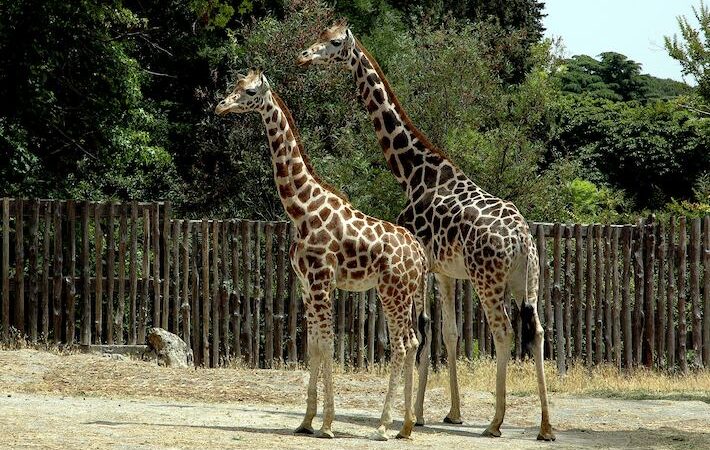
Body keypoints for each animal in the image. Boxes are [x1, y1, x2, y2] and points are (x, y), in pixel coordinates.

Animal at [214, 68, 432, 442]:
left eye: (251, 91)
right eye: (235, 86)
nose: (221, 106)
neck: (301, 210)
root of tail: (418, 252)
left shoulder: (321, 280)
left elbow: (328, 343)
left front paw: (328, 424)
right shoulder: (304, 284)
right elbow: (313, 345)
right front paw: (306, 421)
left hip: (392, 292)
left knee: (402, 344)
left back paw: (383, 426)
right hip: (403, 293)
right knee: (412, 339)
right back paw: (404, 427)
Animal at [298, 20, 560, 440]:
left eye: (335, 42)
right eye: (322, 34)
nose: (305, 56)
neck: (414, 173)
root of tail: (522, 239)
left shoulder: (427, 265)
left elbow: (423, 328)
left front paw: (416, 416)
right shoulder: (447, 272)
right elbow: (448, 333)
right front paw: (450, 412)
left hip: (488, 280)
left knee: (503, 332)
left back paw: (495, 422)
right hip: (527, 281)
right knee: (535, 331)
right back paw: (546, 426)